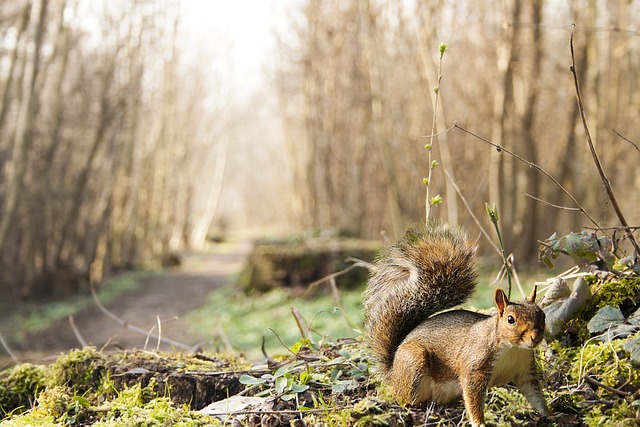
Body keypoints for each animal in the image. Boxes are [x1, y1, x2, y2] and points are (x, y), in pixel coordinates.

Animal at [364, 222, 552, 426]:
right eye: (511, 319)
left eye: (542, 314)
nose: (536, 337)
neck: (512, 349)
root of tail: (392, 373)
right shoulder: (474, 368)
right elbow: (473, 398)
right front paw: (479, 422)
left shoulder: (525, 371)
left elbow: (535, 395)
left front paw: (548, 415)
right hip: (414, 362)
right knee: (402, 396)